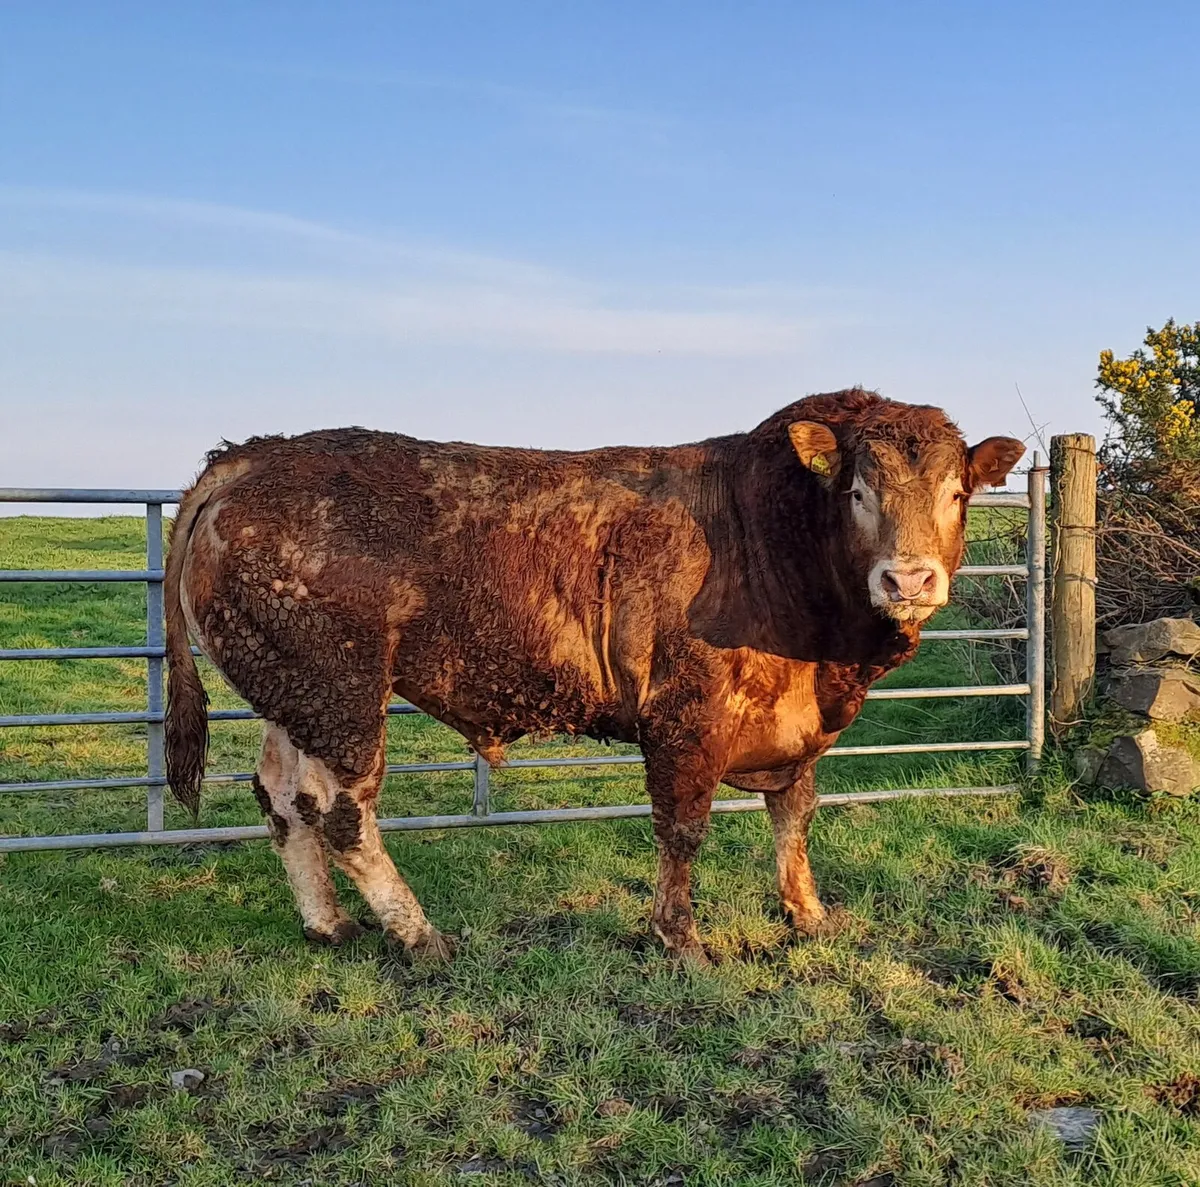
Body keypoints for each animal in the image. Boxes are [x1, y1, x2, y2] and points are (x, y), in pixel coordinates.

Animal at [164, 388, 1024, 962]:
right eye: (857, 491)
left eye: (957, 492)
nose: (908, 580)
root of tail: (252, 454)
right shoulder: (683, 721)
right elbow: (683, 829)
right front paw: (680, 939)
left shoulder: (798, 724)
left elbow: (795, 814)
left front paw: (807, 914)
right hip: (342, 693)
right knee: (343, 812)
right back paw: (421, 934)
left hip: (294, 694)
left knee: (283, 798)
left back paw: (329, 922)